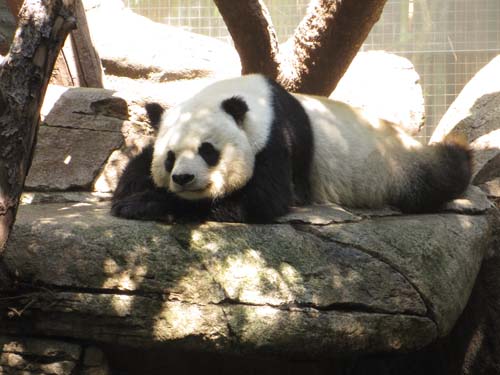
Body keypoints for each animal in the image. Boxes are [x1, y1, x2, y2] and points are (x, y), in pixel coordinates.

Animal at [110, 75, 472, 225]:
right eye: (169, 157)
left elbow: (262, 199)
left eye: (208, 150)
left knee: (440, 174)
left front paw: (146, 204)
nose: (183, 178)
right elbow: (136, 166)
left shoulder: (278, 138)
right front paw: (132, 193)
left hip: (396, 163)